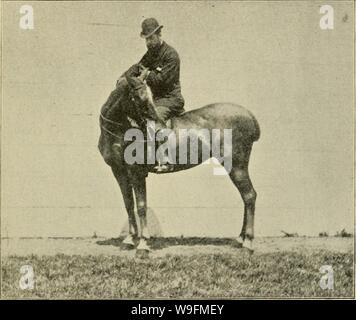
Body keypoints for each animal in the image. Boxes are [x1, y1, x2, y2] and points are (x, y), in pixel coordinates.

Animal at [98, 74, 260, 255]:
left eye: (149, 96)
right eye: (138, 98)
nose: (159, 129)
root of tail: (249, 115)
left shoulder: (136, 172)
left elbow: (141, 206)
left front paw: (143, 244)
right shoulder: (119, 171)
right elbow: (128, 204)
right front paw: (129, 239)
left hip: (237, 165)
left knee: (249, 195)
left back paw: (248, 243)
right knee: (246, 197)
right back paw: (241, 239)